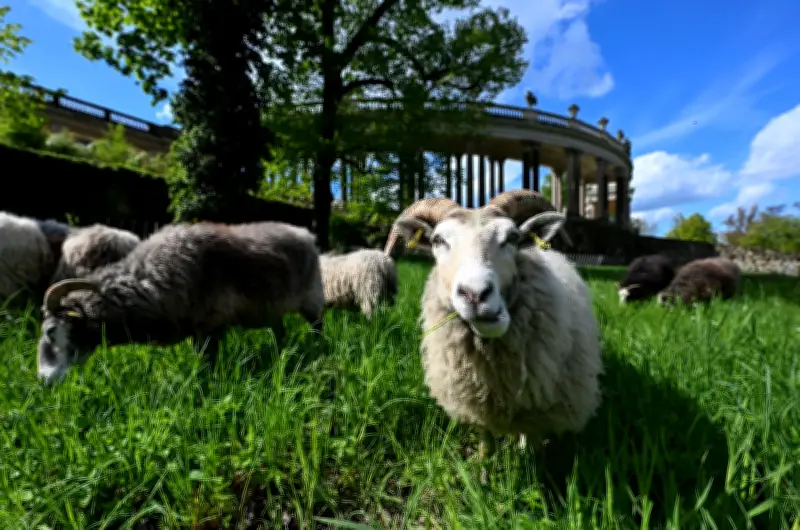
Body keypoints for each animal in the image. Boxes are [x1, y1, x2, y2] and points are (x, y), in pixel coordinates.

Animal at [36, 220, 325, 384]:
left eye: (51, 331)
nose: (42, 381)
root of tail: (305, 233)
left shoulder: (210, 325)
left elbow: (207, 364)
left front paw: (205, 388)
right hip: (272, 308)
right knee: (280, 331)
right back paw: (281, 353)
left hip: (312, 296)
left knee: (317, 326)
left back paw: (317, 348)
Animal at [389, 193, 603, 484]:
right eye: (438, 240)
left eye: (511, 237)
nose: (475, 294)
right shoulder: (475, 402)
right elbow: (486, 444)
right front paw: (482, 477)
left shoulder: (538, 409)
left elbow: (533, 444)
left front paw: (531, 474)